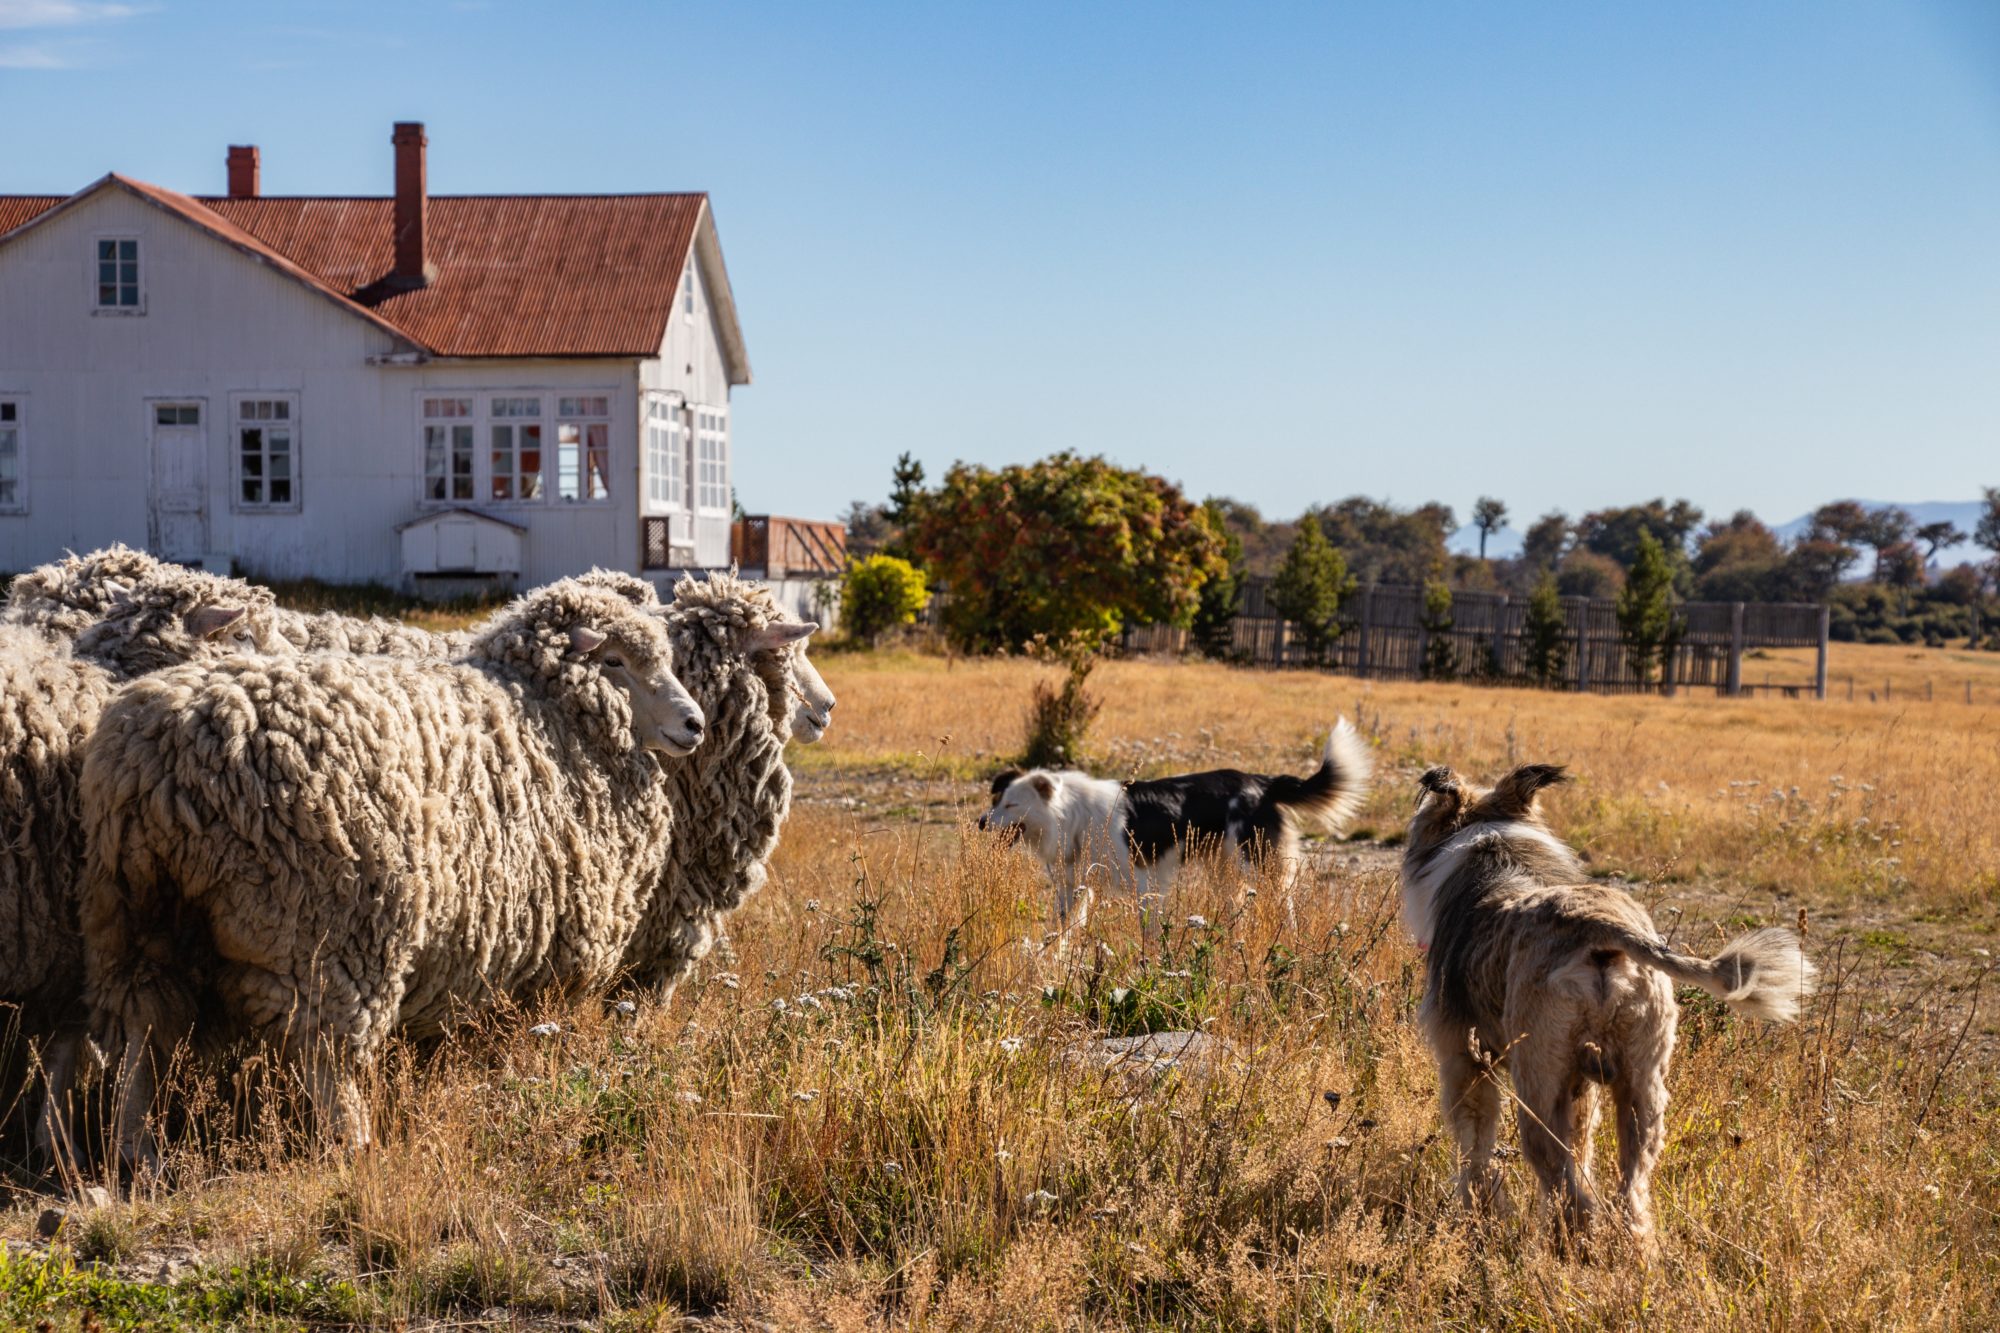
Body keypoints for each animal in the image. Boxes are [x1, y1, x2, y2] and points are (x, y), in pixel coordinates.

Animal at [79, 578, 708, 1158]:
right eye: (614, 661)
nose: (694, 724)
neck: (552, 714)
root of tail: (168, 755)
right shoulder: (555, 945)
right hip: (323, 927)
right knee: (323, 1049)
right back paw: (353, 1142)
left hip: (134, 917)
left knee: (142, 1029)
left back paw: (134, 1148)